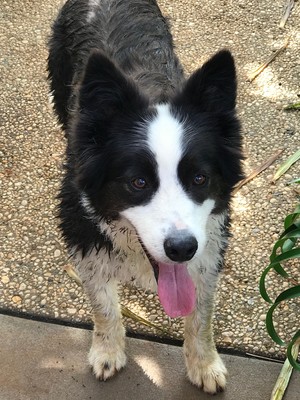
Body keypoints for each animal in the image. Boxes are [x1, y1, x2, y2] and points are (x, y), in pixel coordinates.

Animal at [47, 0, 244, 394]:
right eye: (137, 182)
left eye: (200, 178)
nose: (181, 249)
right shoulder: (85, 240)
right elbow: (103, 305)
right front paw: (107, 352)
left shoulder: (209, 244)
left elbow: (201, 315)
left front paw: (204, 364)